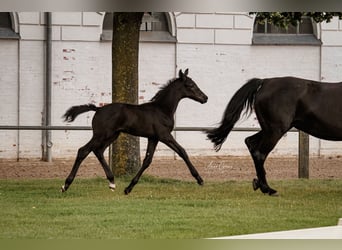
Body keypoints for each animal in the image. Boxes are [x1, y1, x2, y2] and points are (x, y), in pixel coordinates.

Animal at [60, 69, 208, 194]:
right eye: (191, 85)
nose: (205, 98)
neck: (162, 109)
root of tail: (98, 109)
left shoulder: (153, 138)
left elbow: (147, 160)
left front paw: (128, 188)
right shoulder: (164, 135)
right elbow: (182, 152)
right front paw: (199, 179)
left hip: (112, 135)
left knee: (98, 151)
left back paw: (112, 182)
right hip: (101, 135)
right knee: (83, 151)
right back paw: (66, 185)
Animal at [207, 76, 342, 195]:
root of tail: (266, 82)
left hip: (269, 130)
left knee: (250, 142)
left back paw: (258, 184)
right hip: (275, 131)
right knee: (259, 153)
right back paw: (268, 189)